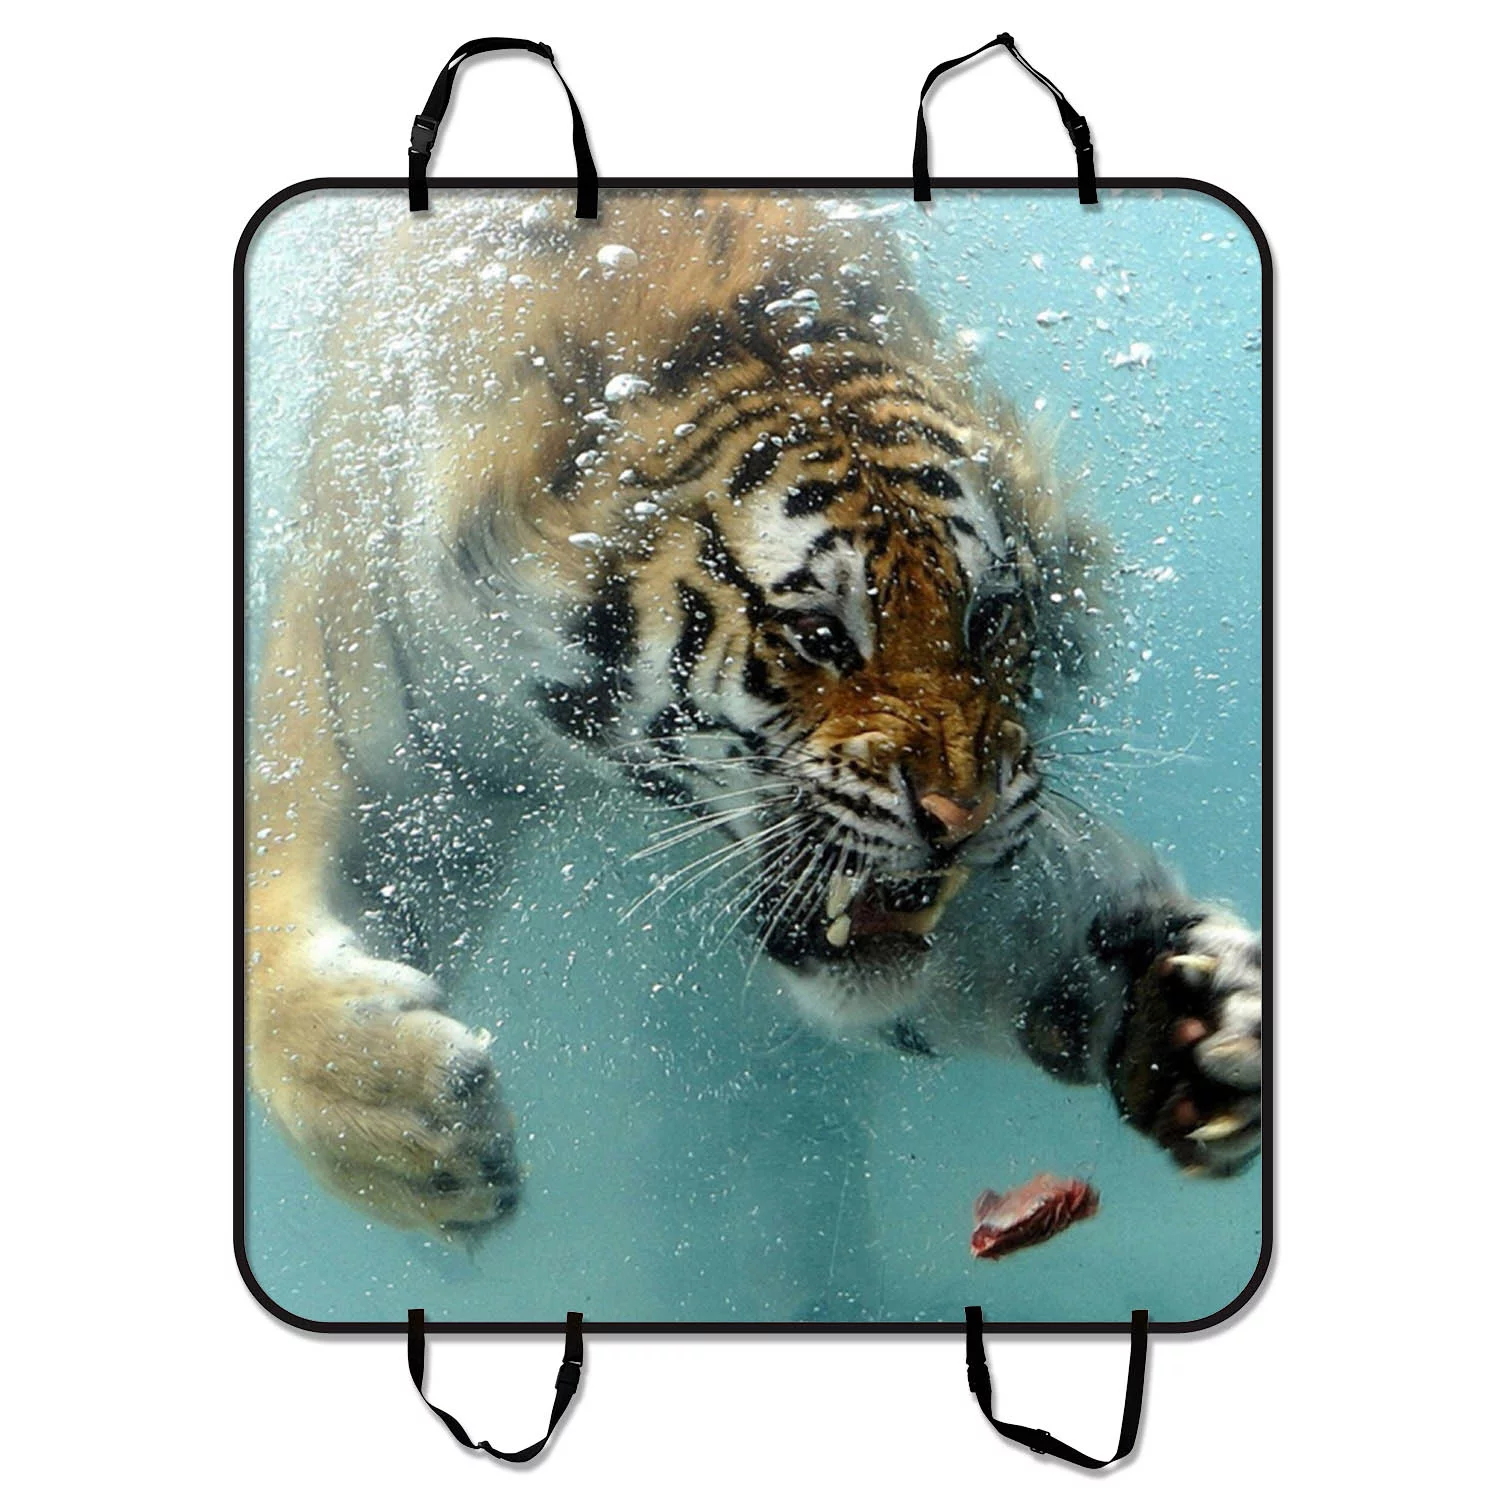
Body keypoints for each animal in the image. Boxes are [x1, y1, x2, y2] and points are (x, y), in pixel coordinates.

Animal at [245, 190, 1262, 1235]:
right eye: (817, 634)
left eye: (988, 617)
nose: (962, 818)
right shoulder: (385, 752)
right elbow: (268, 945)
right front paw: (410, 1124)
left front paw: (1191, 1015)